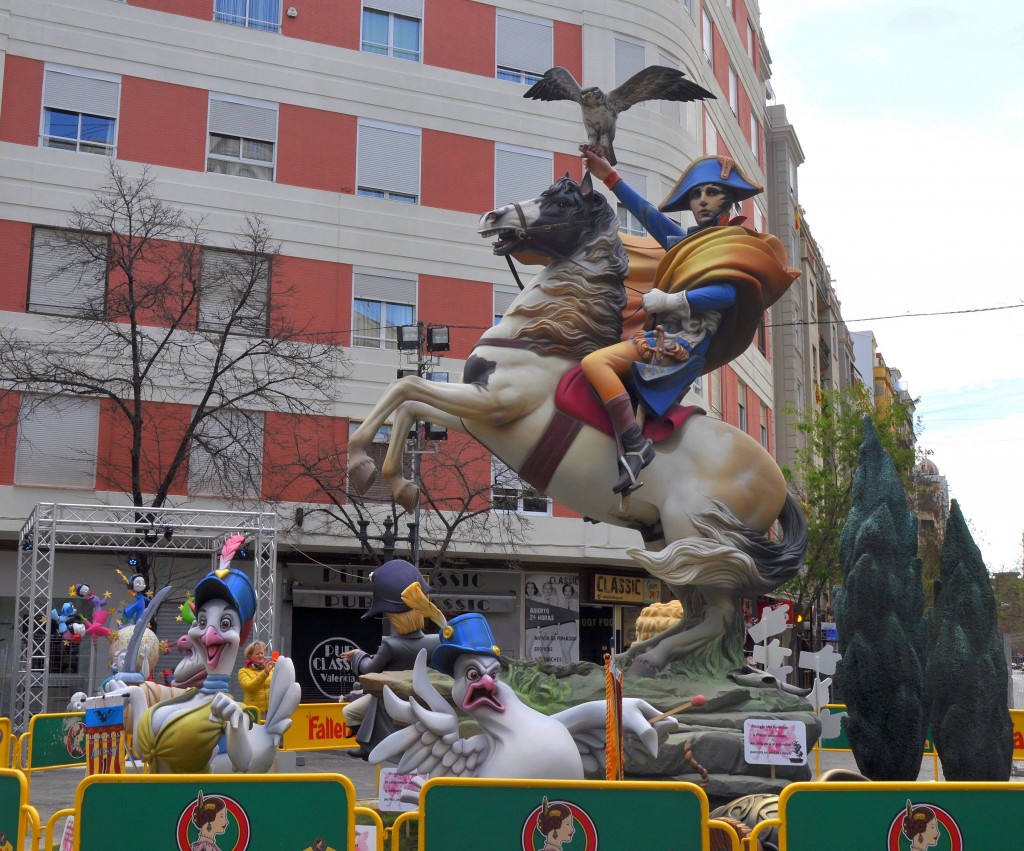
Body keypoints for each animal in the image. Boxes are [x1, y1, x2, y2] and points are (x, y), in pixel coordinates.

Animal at [348, 173, 802, 679]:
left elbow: (405, 390)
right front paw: (393, 482)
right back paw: (632, 655)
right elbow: (407, 401)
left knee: (719, 615)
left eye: (561, 202)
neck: (542, 338)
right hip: (667, 539)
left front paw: (367, 468)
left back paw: (649, 661)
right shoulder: (475, 413)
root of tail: (778, 483)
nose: (492, 215)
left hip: (697, 535)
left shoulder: (496, 404)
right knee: (697, 612)